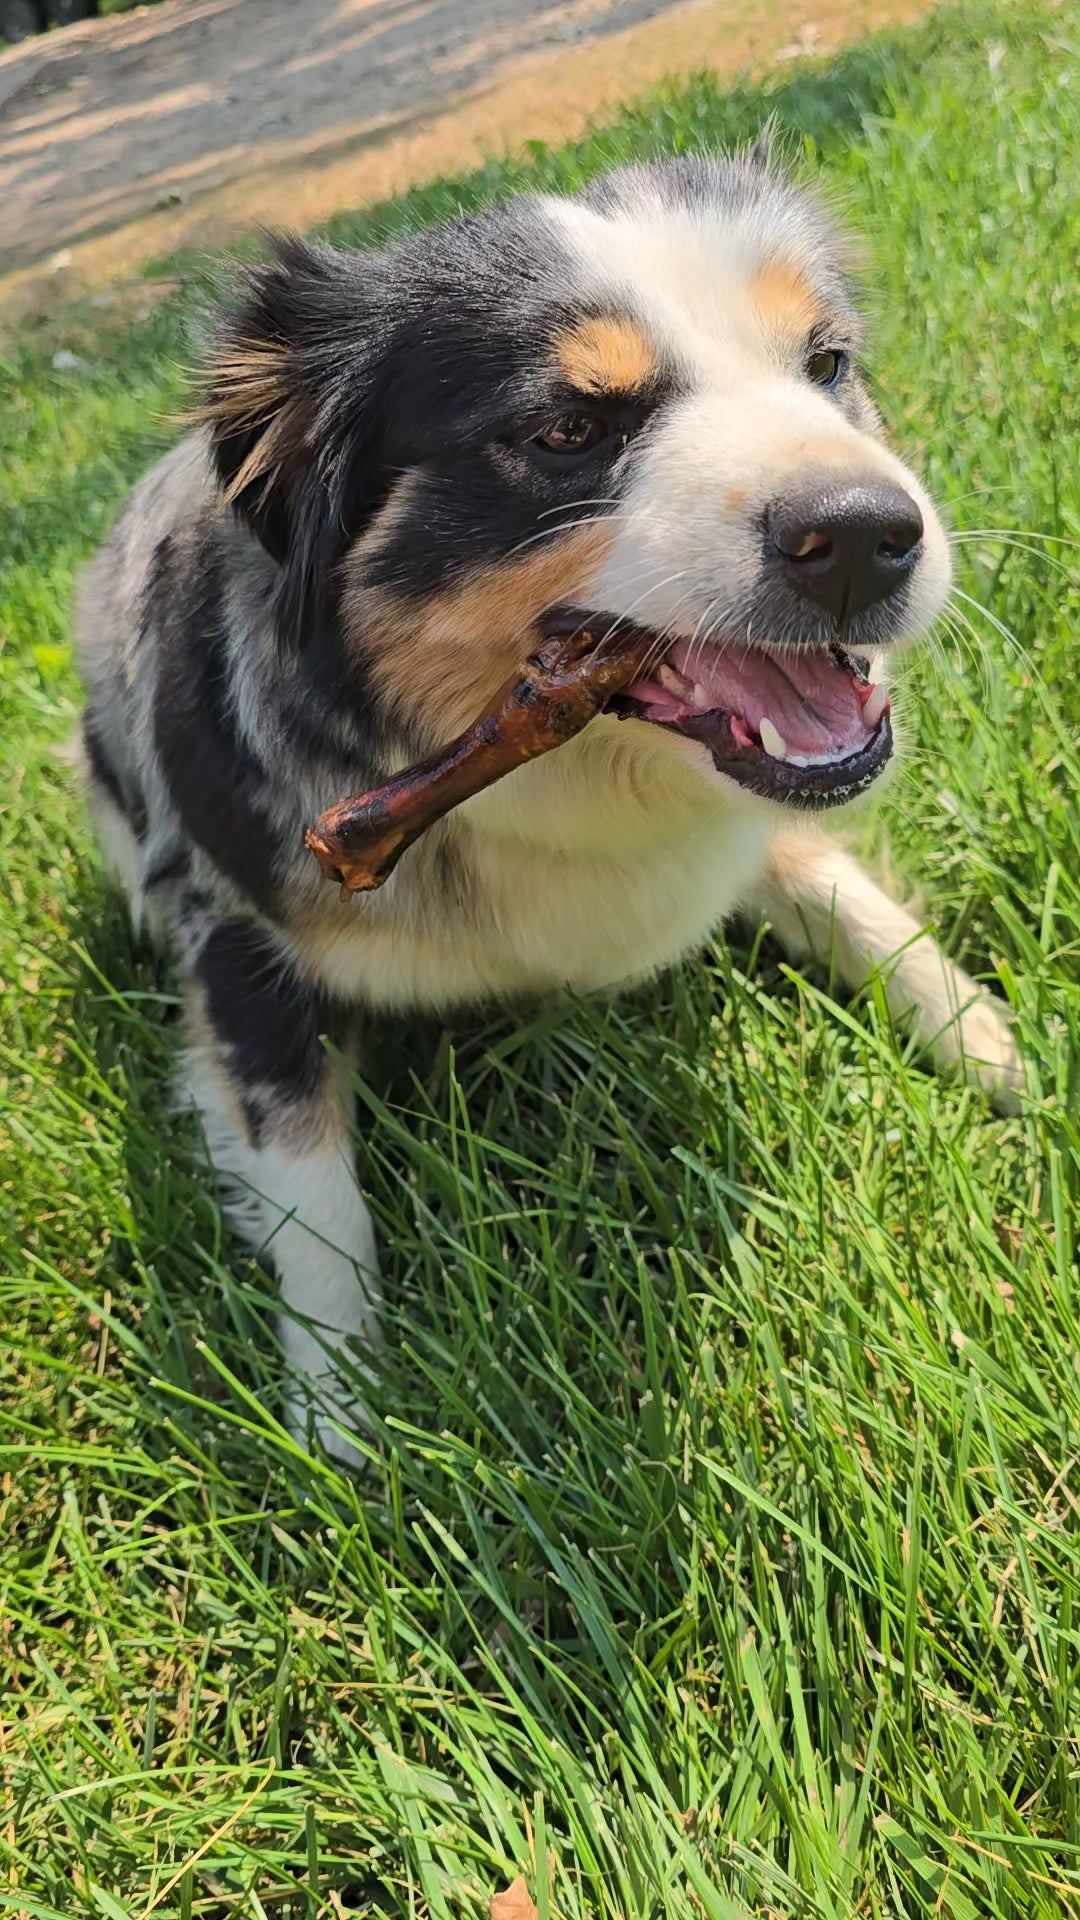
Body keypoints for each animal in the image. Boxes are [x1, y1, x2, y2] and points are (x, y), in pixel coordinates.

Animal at [75, 145, 1014, 1451]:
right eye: (567, 428)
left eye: (826, 362)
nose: (870, 536)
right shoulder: (233, 932)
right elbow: (313, 1189)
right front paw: (341, 1414)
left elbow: (831, 879)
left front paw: (987, 1038)